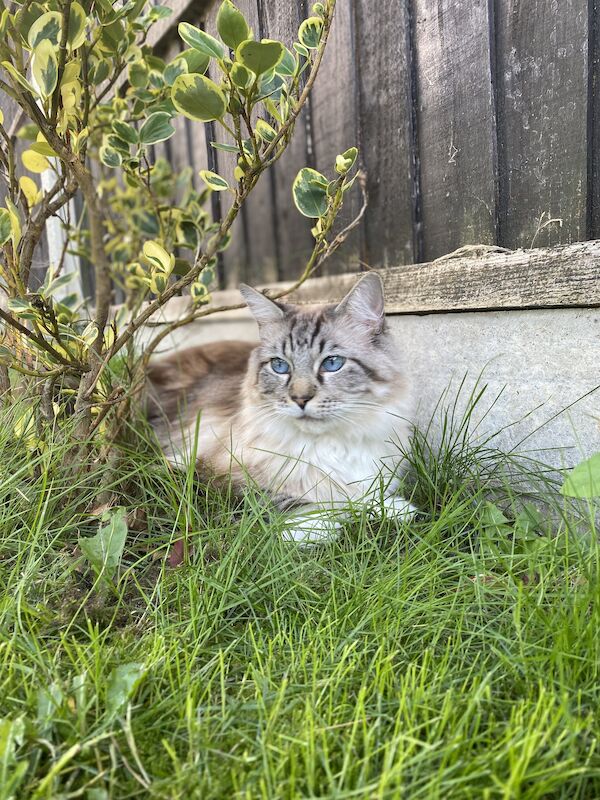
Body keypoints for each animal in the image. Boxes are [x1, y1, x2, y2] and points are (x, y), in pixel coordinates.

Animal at [148, 272, 414, 540]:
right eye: (280, 366)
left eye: (332, 363)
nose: (300, 399)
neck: (330, 445)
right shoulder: (217, 475)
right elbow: (299, 504)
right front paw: (320, 527)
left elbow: (365, 497)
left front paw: (395, 510)